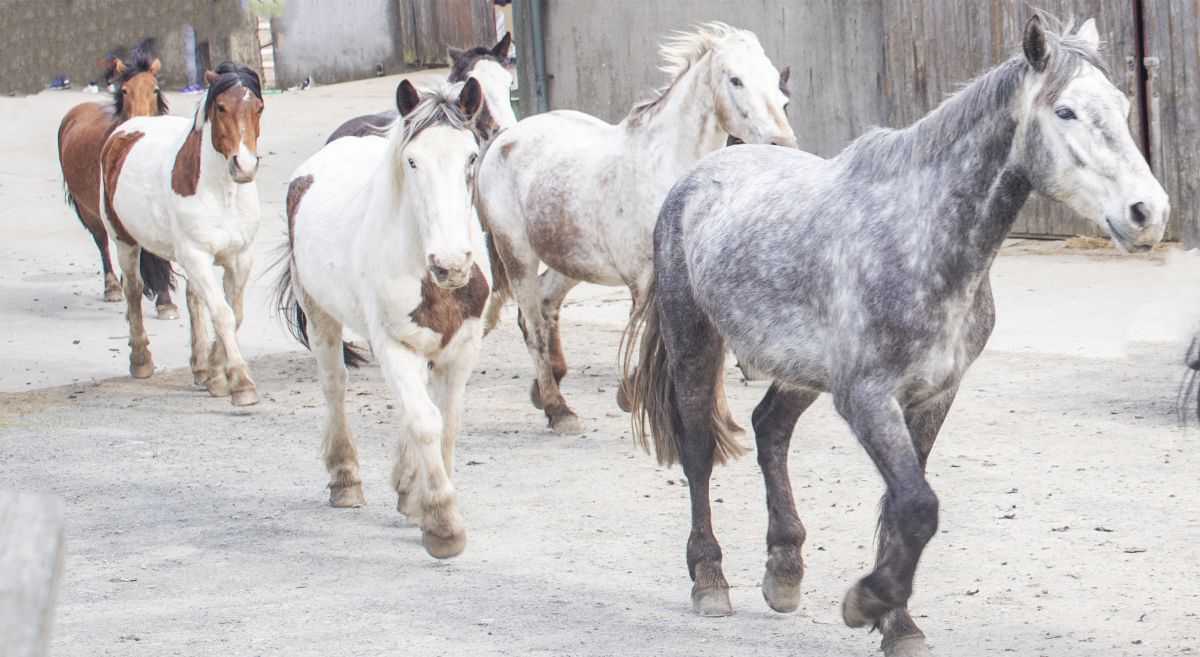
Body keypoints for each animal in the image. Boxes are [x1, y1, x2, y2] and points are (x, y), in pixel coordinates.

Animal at [57, 51, 179, 318]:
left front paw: (165, 300)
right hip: (90, 209)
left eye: (155, 89)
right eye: (124, 90)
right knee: (101, 240)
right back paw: (113, 287)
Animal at [99, 63, 265, 407]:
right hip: (124, 241)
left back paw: (201, 368)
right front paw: (241, 384)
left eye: (259, 107)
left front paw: (217, 375)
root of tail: (126, 131)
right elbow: (223, 314)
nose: (243, 166)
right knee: (133, 289)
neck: (220, 192)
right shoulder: (197, 256)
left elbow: (234, 314)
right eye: (220, 107)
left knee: (192, 298)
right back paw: (141, 360)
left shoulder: (240, 257)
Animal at [275, 79, 488, 559]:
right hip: (319, 313)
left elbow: (448, 423)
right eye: (412, 160)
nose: (451, 263)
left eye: (471, 156)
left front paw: (422, 501)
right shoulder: (393, 345)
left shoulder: (462, 348)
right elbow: (426, 422)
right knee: (335, 386)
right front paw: (443, 523)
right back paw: (345, 480)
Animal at [475, 22, 795, 433]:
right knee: (531, 325)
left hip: (570, 258)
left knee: (547, 306)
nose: (782, 142)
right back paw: (558, 409)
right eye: (735, 79)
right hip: (517, 255)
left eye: (775, 81)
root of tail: (503, 137)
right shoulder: (643, 279)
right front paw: (630, 395)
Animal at [621, 15, 1168, 657]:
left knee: (770, 428)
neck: (919, 237)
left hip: (800, 368)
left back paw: (784, 572)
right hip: (695, 342)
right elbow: (918, 505)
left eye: (1123, 107)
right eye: (1065, 111)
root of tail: (704, 174)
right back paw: (710, 580)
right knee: (699, 448)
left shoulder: (931, 398)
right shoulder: (867, 397)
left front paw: (898, 625)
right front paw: (868, 603)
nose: (1147, 213)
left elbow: (900, 508)